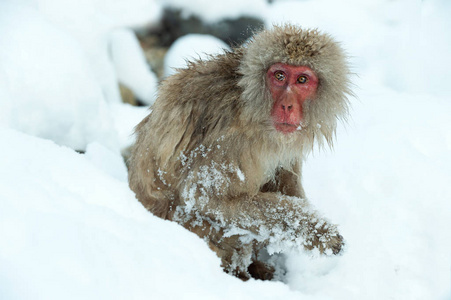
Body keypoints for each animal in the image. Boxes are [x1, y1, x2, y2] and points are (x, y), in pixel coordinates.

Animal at [128, 24, 354, 280]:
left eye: (302, 79)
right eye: (279, 76)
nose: (287, 105)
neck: (252, 105)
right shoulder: (229, 141)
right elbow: (205, 199)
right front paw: (318, 232)